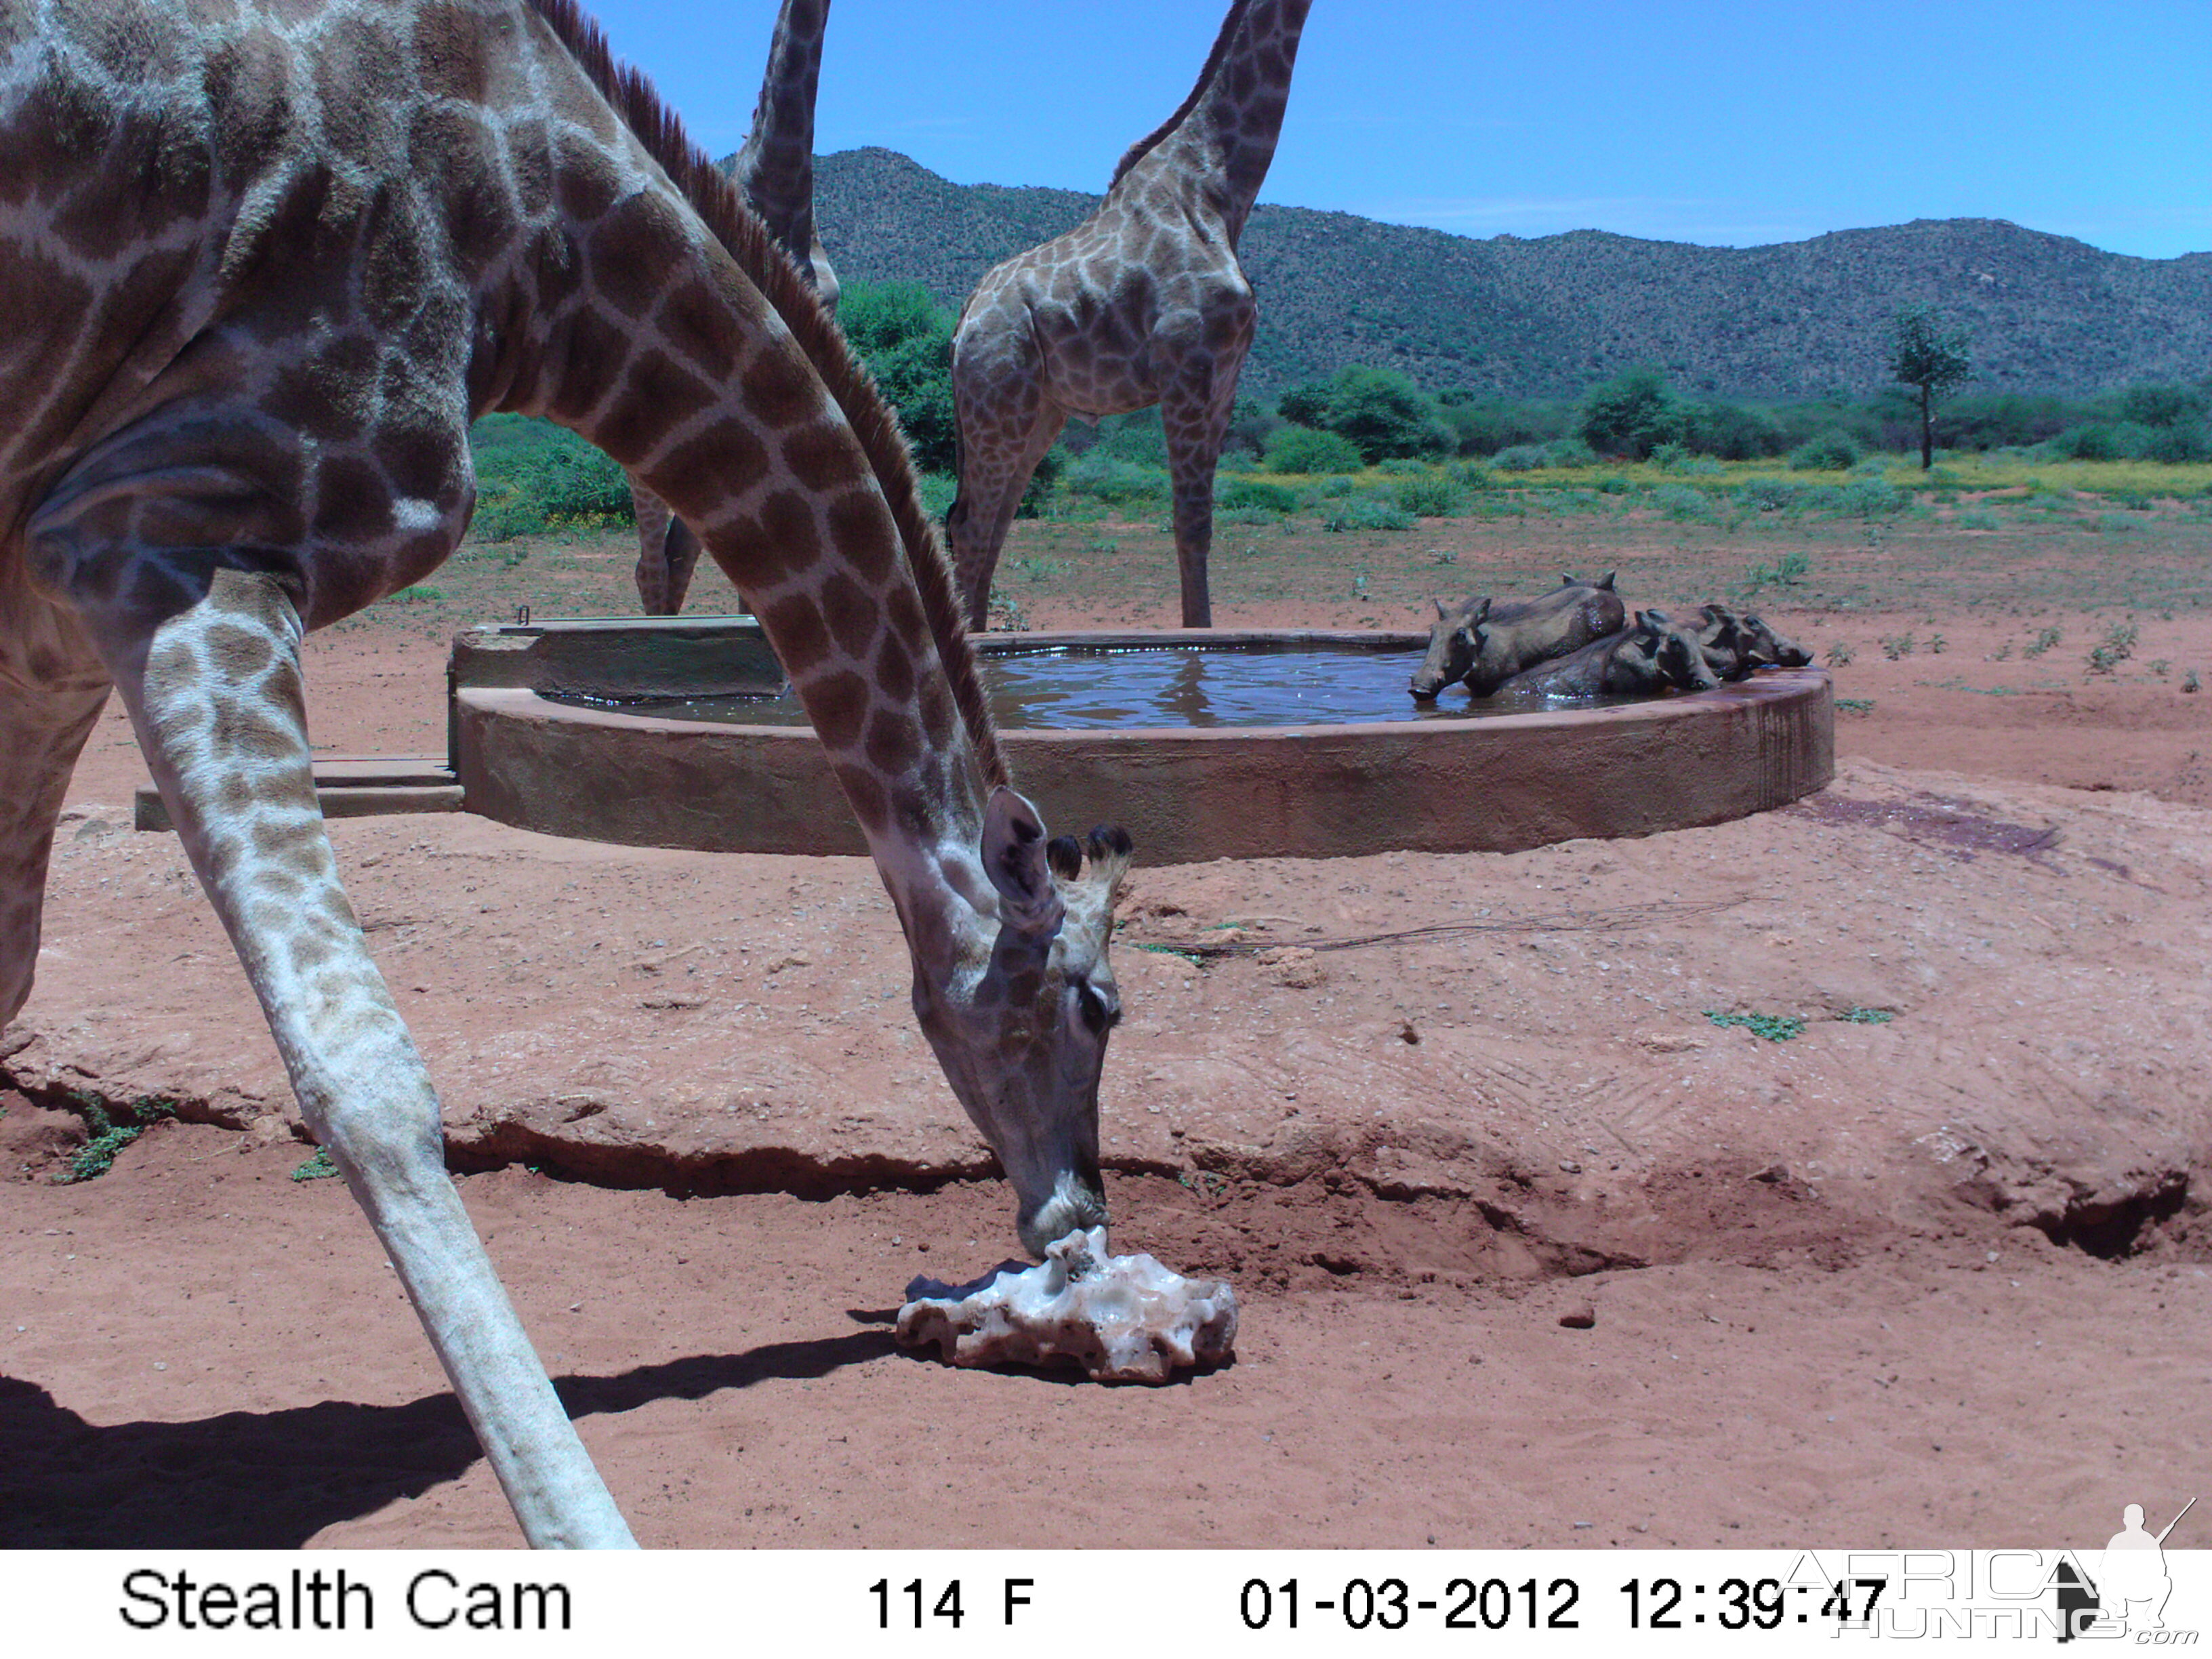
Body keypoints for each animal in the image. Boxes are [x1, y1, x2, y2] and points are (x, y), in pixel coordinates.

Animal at [951, 0, 1309, 632]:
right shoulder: (1186, 368)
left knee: (992, 525)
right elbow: (1188, 525)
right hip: (997, 403)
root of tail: (964, 320)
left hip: (1039, 412)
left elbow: (1204, 523)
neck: (1218, 189)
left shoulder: (1226, 383)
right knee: (973, 528)